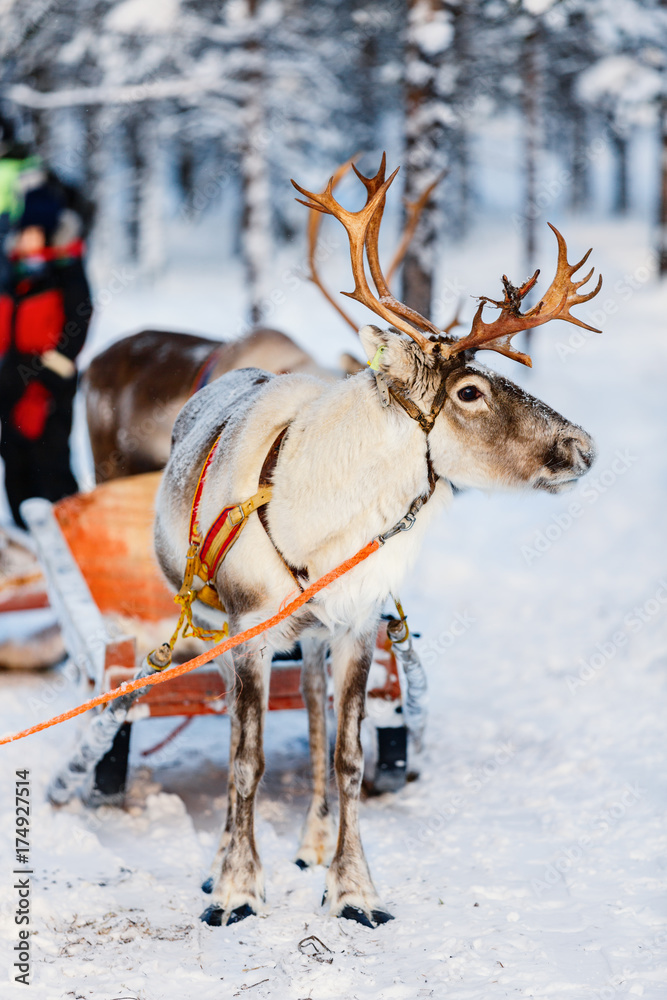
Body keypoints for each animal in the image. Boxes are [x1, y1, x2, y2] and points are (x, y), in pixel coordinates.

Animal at [153, 155, 601, 929]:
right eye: (470, 391)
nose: (582, 446)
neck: (324, 519)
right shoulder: (247, 628)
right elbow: (246, 759)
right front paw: (237, 886)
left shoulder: (358, 623)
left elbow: (348, 758)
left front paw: (353, 888)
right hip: (219, 623)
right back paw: (223, 864)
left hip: (313, 635)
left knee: (313, 711)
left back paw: (311, 842)